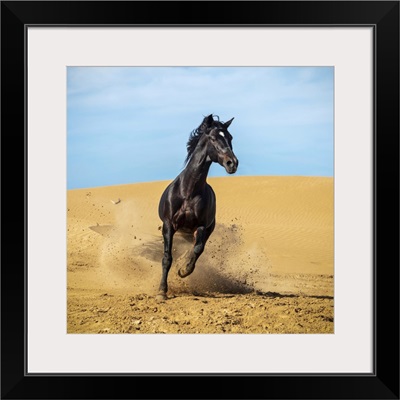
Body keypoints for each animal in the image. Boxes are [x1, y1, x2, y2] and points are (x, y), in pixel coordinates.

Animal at [157, 113, 239, 300]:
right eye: (214, 138)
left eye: (230, 137)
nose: (232, 163)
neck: (188, 191)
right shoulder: (168, 225)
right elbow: (167, 258)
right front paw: (162, 291)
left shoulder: (200, 226)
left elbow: (197, 250)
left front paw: (183, 270)